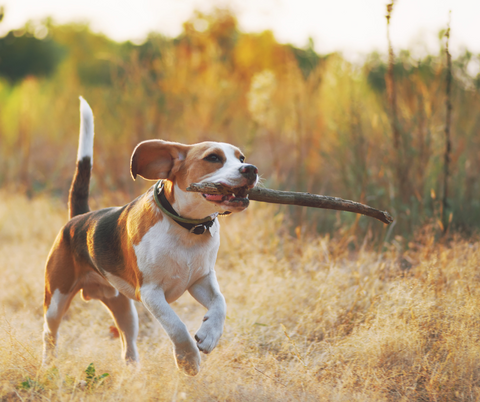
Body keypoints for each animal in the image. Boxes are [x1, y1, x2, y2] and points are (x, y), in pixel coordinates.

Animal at [41, 98, 258, 376]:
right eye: (213, 158)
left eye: (241, 158)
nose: (250, 169)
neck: (187, 228)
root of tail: (80, 218)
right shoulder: (151, 293)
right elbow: (176, 325)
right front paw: (188, 360)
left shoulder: (201, 279)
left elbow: (220, 303)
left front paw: (209, 334)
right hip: (56, 300)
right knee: (50, 333)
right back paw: (48, 366)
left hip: (124, 308)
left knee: (127, 342)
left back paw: (133, 372)